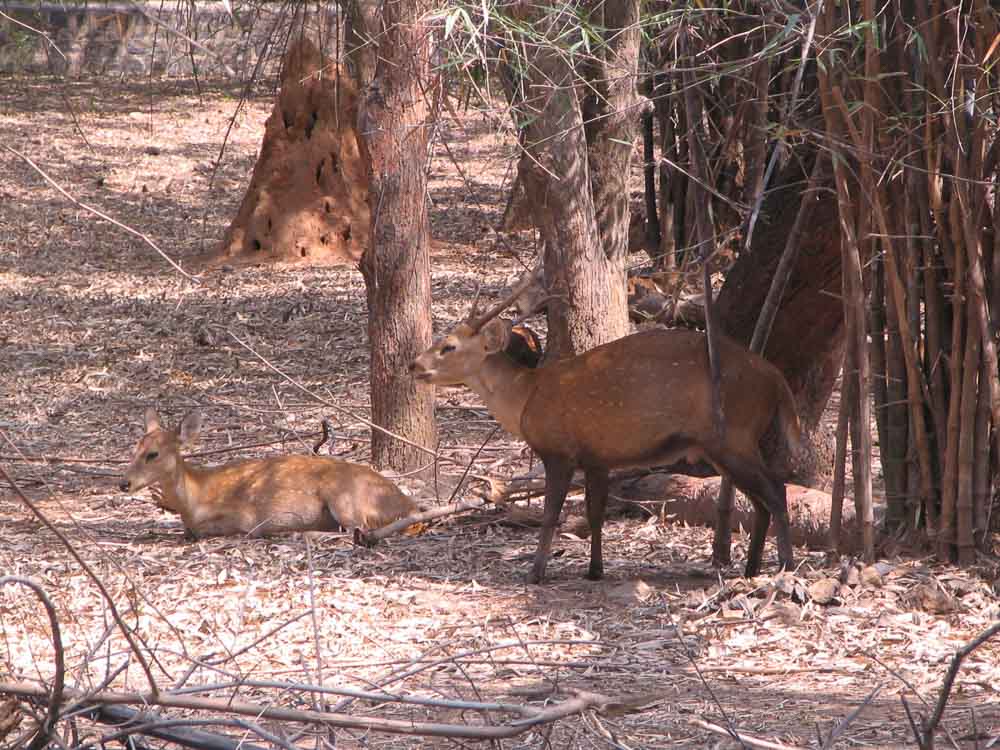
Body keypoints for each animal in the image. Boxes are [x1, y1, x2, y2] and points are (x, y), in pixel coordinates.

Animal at [119, 412, 416, 540]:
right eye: (134, 449)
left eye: (153, 454)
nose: (124, 483)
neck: (195, 498)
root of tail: (407, 503)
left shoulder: (246, 517)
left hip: (344, 497)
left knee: (359, 529)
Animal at [406, 280, 796, 584]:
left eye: (449, 346)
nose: (413, 365)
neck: (525, 399)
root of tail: (777, 379)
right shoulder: (597, 457)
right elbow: (596, 514)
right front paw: (595, 570)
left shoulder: (559, 450)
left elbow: (551, 514)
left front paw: (535, 572)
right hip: (728, 444)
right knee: (761, 501)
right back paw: (752, 568)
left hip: (733, 434)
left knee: (777, 491)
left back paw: (786, 566)